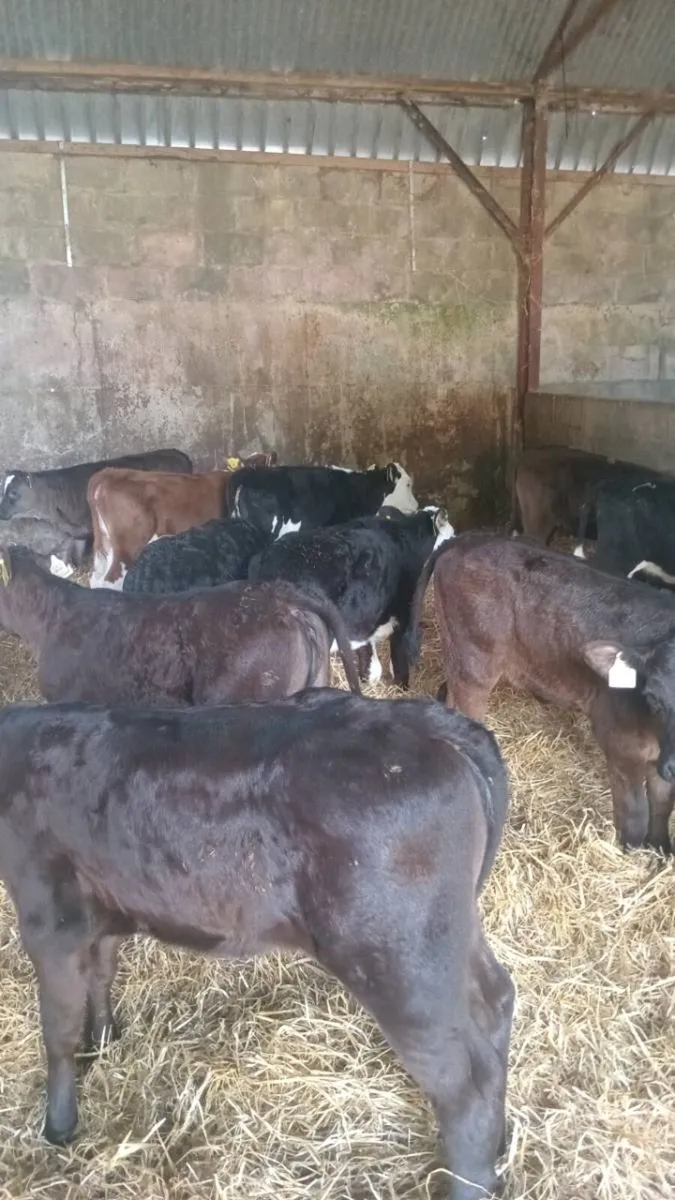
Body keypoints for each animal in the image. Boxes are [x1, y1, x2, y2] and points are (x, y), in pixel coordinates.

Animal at [0, 689, 513, 1200]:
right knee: (495, 1002)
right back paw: (500, 1142)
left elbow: (58, 1029)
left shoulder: (49, 916)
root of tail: (424, 723)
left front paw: (59, 1124)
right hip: (445, 939)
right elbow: (102, 972)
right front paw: (105, 1039)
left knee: (463, 1080)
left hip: (399, 960)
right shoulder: (102, 903)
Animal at [249, 506, 454, 687]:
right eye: (452, 536)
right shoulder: (403, 613)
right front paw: (401, 688)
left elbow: (371, 662)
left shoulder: (363, 620)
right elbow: (399, 658)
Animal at [407, 532, 675, 855]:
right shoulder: (620, 745)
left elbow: (662, 802)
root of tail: (468, 539)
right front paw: (631, 851)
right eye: (654, 697)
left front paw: (662, 849)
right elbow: (635, 811)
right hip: (474, 667)